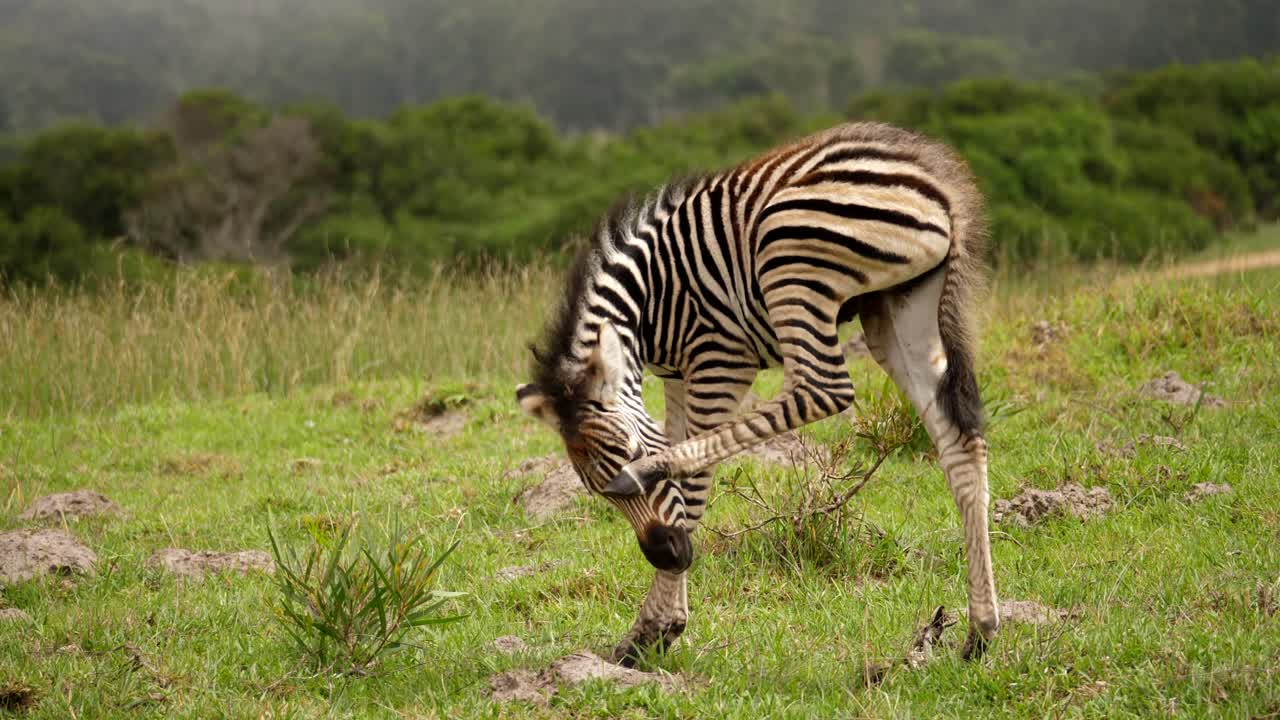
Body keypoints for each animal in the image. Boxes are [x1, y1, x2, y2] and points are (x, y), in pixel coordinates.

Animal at [516, 121, 998, 665]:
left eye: (627, 452)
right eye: (592, 488)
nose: (668, 554)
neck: (649, 303)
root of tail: (937, 176)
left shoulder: (718, 356)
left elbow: (693, 485)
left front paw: (658, 626)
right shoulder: (675, 376)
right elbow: (682, 477)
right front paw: (652, 631)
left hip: (789, 257)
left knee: (823, 387)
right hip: (900, 305)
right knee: (960, 442)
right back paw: (980, 631)